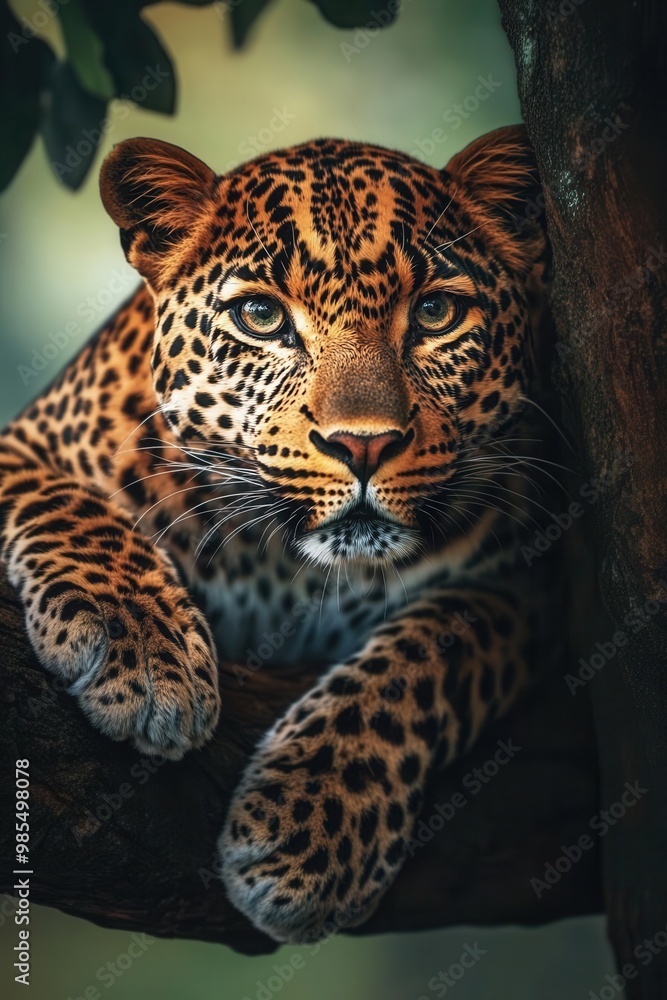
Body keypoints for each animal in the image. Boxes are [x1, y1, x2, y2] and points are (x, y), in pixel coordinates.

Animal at [0, 125, 560, 944]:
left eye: (434, 313)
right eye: (262, 318)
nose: (362, 445)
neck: (280, 562)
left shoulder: (524, 585)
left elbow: (431, 649)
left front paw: (312, 828)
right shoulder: (23, 446)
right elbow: (70, 507)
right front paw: (143, 652)